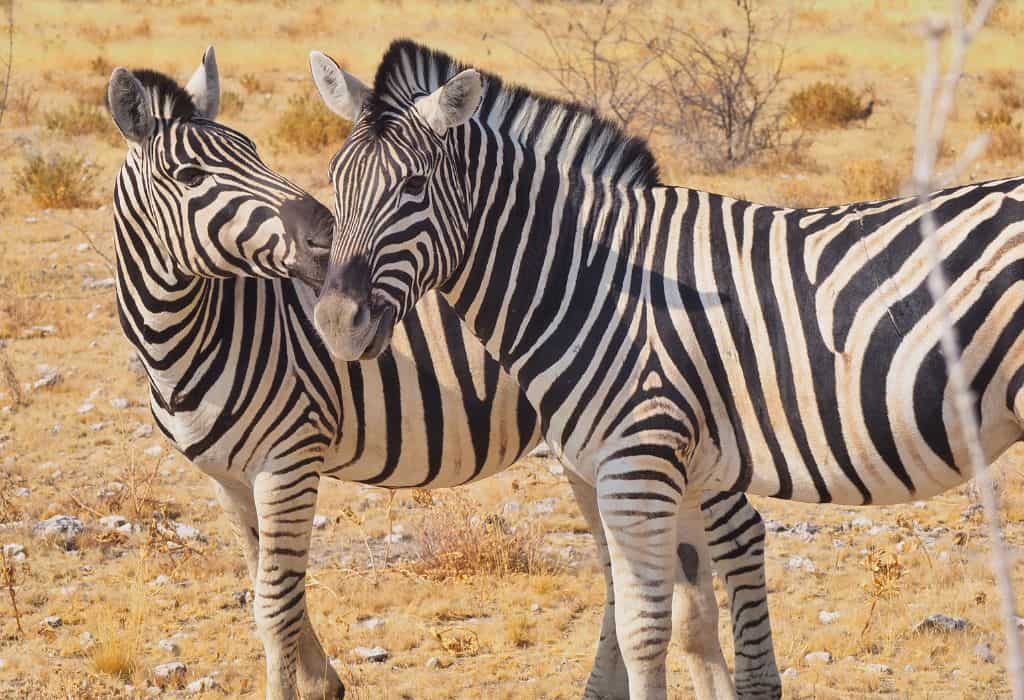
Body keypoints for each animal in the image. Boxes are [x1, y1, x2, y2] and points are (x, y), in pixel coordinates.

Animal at [105, 50, 774, 700]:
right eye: (191, 177)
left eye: (255, 154)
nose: (322, 244)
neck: (192, 335)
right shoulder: (228, 477)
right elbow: (269, 585)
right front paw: (323, 681)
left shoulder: (290, 459)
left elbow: (274, 606)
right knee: (626, 568)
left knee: (739, 536)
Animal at [307, 36, 1024, 700]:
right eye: (334, 180)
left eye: (413, 187)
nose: (337, 324)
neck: (590, 279)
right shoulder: (660, 469)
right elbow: (685, 617)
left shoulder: (638, 464)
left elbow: (644, 633)